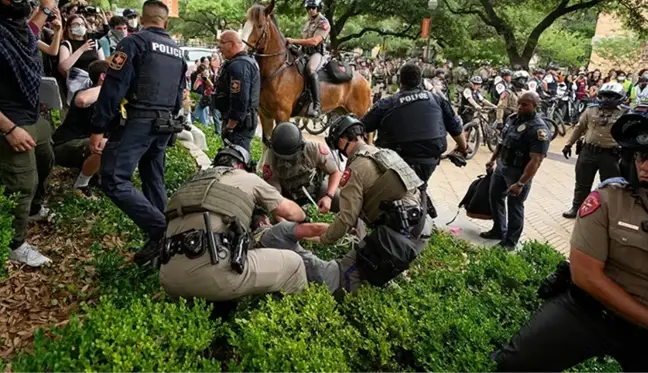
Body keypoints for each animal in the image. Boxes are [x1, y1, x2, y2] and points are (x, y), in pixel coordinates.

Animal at [240, 0, 372, 142]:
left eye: (259, 26)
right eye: (244, 22)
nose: (242, 49)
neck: (278, 70)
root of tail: (365, 81)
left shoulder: (282, 115)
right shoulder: (265, 115)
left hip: (357, 116)